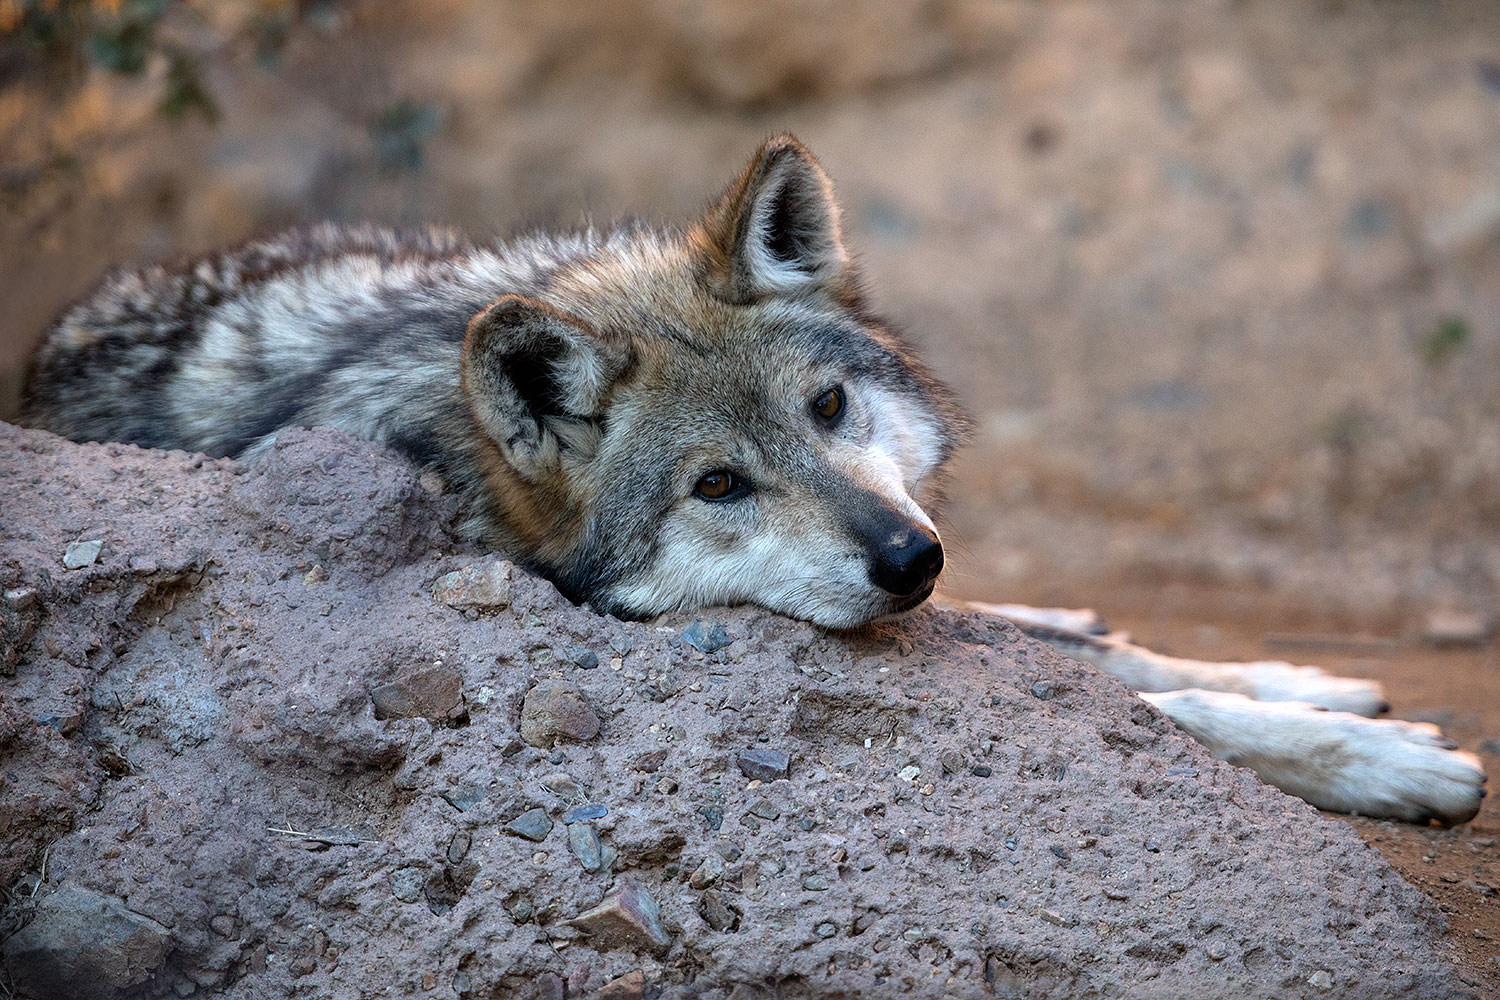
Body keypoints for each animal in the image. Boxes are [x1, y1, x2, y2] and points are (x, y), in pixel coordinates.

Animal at [21, 135, 1486, 825]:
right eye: (718, 486)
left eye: (828, 408)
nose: (910, 561)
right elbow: (1148, 707)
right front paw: (1384, 759)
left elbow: (1113, 659)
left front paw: (1311, 684)